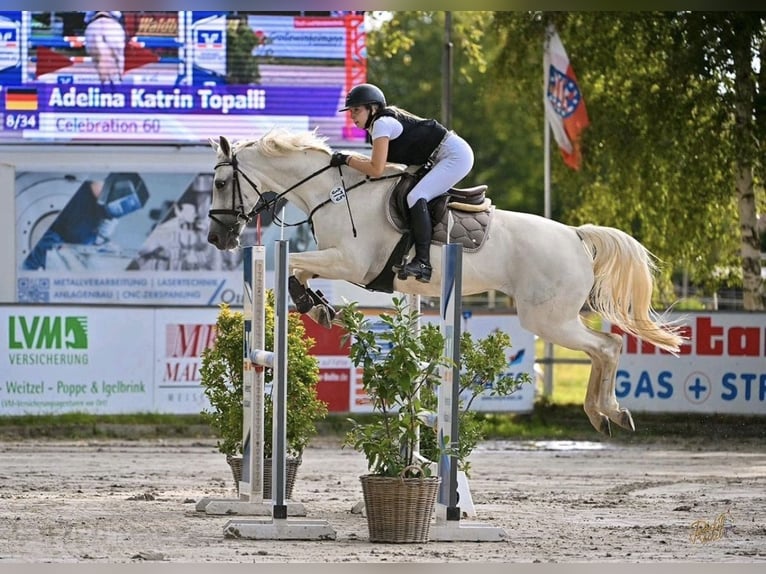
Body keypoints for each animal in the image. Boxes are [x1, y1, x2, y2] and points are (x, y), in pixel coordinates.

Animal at [206, 128, 685, 436]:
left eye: (221, 181)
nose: (217, 238)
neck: (334, 192)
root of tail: (576, 236)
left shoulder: (352, 263)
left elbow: (294, 264)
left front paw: (314, 304)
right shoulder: (338, 261)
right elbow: (300, 271)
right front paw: (318, 306)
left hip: (547, 319)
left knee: (608, 346)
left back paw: (608, 413)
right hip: (554, 317)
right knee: (606, 348)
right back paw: (605, 414)